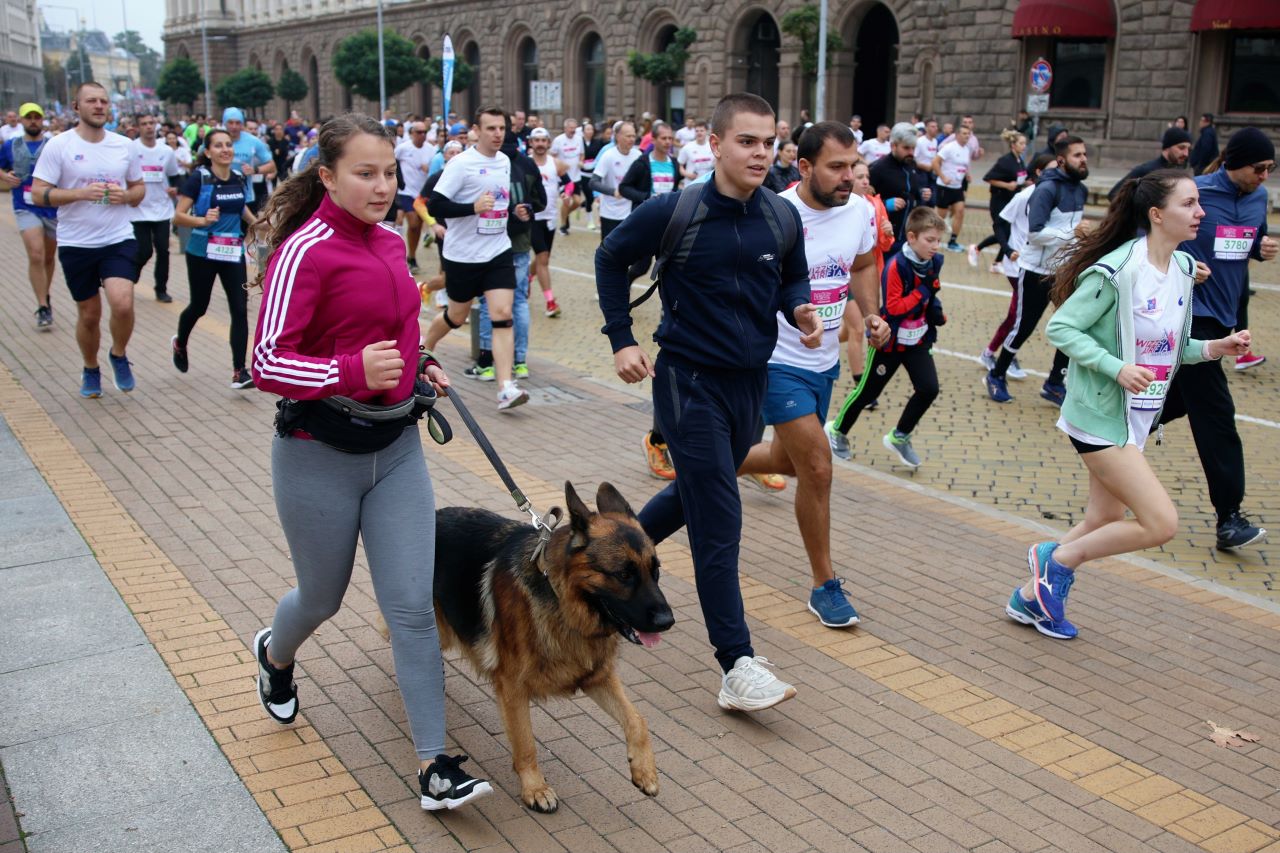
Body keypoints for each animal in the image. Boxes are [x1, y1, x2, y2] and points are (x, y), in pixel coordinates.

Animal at [432, 481, 670, 809]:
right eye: (624, 574)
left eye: (655, 571)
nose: (668, 621)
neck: (561, 599)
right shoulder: (513, 689)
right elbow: (526, 743)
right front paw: (535, 788)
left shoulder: (598, 678)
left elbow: (638, 720)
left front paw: (644, 770)